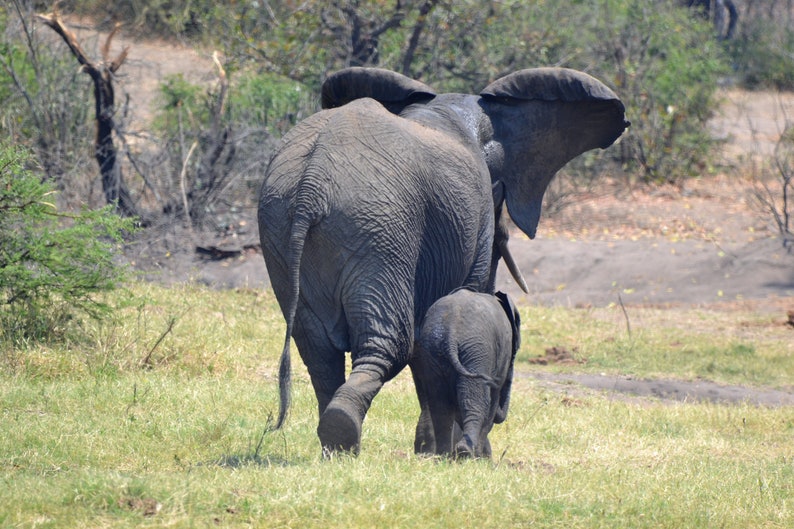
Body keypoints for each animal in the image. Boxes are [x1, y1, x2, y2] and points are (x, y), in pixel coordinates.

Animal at [408, 286, 520, 456]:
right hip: (477, 351)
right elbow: (492, 399)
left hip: (432, 350)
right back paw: (466, 452)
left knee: (439, 403)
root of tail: (450, 332)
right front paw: (481, 457)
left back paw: (444, 455)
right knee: (475, 398)